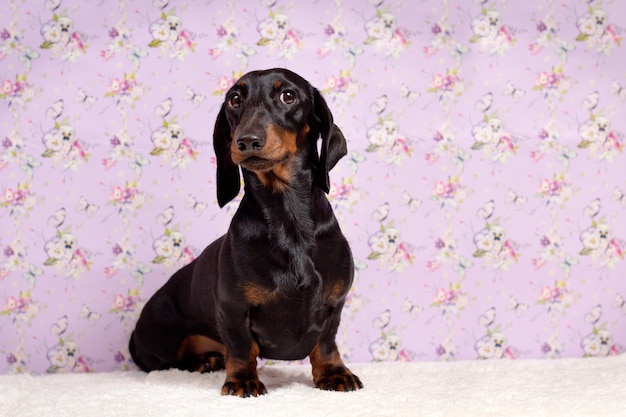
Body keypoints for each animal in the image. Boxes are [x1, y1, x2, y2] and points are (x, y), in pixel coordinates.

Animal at [128, 66, 360, 394]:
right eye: (234, 100)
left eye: (288, 95)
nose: (247, 141)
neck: (288, 219)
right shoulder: (232, 308)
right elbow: (240, 347)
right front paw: (242, 380)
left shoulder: (334, 305)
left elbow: (326, 344)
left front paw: (334, 373)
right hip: (163, 343)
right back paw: (205, 362)